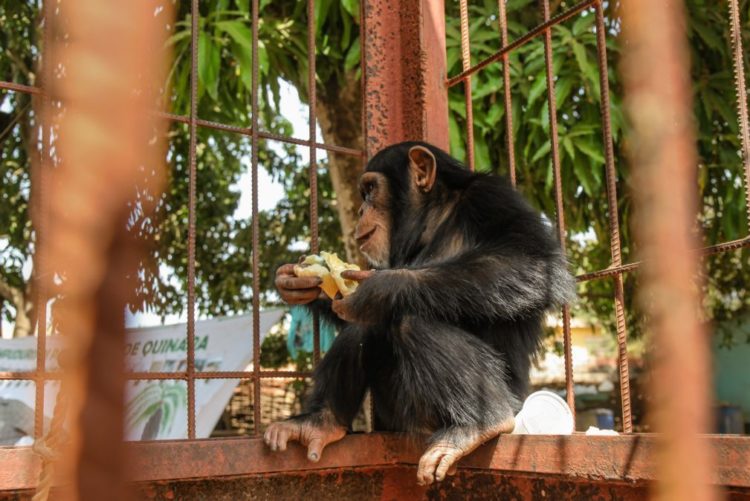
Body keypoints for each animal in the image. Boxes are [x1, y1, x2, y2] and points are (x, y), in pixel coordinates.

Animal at [266, 141, 576, 484]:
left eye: (370, 190)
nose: (360, 210)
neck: (437, 217)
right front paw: (298, 282)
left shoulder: (492, 197)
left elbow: (533, 259)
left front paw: (381, 289)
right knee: (362, 328)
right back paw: (320, 422)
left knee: (408, 321)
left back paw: (480, 424)